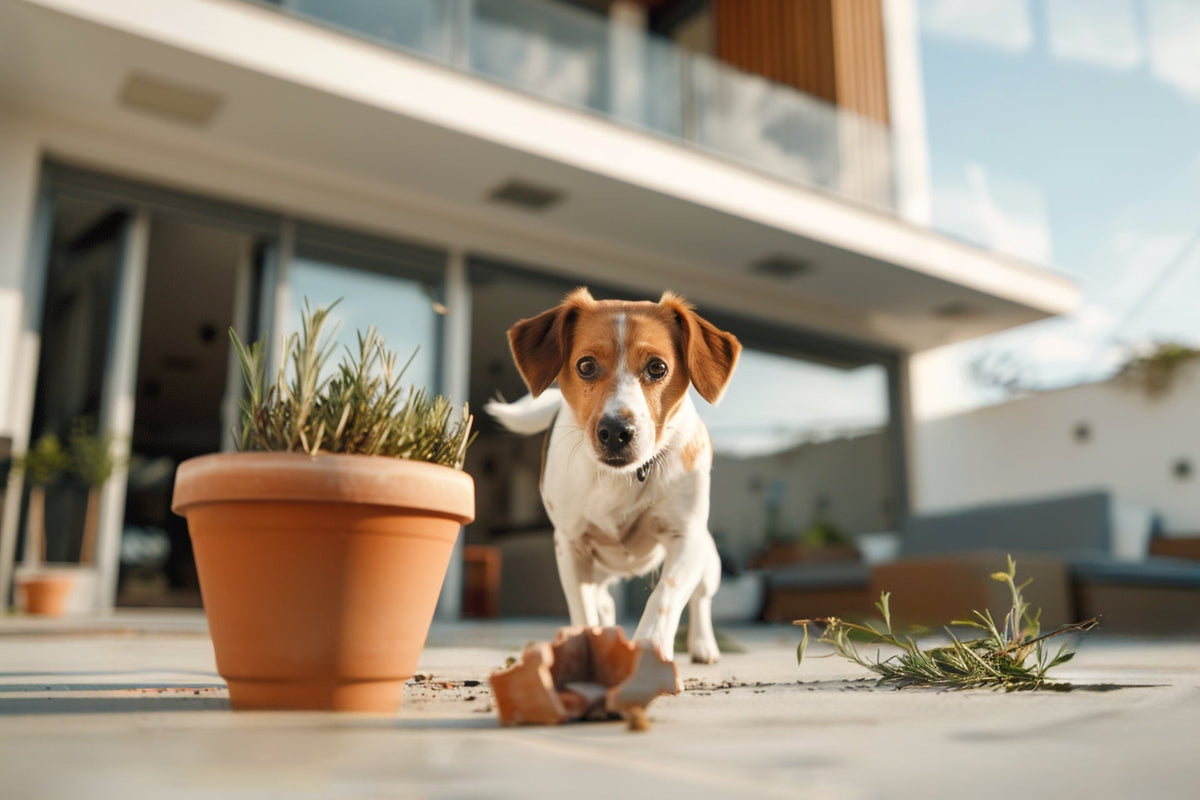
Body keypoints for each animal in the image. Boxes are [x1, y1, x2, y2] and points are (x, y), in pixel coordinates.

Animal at [487, 287, 739, 662]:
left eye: (657, 367)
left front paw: (650, 647)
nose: (616, 431)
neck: (623, 477)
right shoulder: (571, 547)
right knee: (603, 603)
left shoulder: (686, 538)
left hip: (709, 561)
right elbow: (583, 611)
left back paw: (702, 643)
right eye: (586, 366)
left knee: (700, 600)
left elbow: (665, 596)